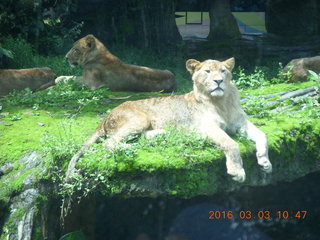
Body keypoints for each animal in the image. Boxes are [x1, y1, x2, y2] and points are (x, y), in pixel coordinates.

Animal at [65, 57, 272, 183]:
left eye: (223, 71)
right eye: (207, 71)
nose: (219, 81)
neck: (222, 102)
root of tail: (107, 115)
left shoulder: (240, 123)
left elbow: (262, 135)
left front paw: (265, 161)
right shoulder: (207, 126)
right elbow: (231, 144)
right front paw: (237, 171)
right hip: (139, 118)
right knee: (109, 143)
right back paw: (132, 147)